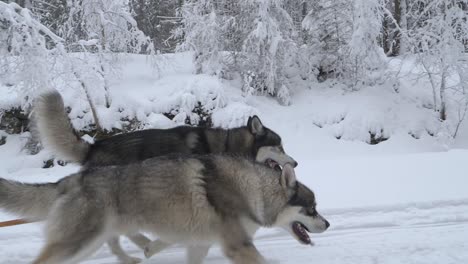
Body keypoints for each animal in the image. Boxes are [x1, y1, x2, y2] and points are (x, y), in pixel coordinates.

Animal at [0, 155, 330, 264]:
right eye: (312, 209)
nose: (327, 225)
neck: (253, 191)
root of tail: (72, 179)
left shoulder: (199, 244)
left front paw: (151, 248)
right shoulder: (237, 246)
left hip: (89, 243)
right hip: (78, 242)